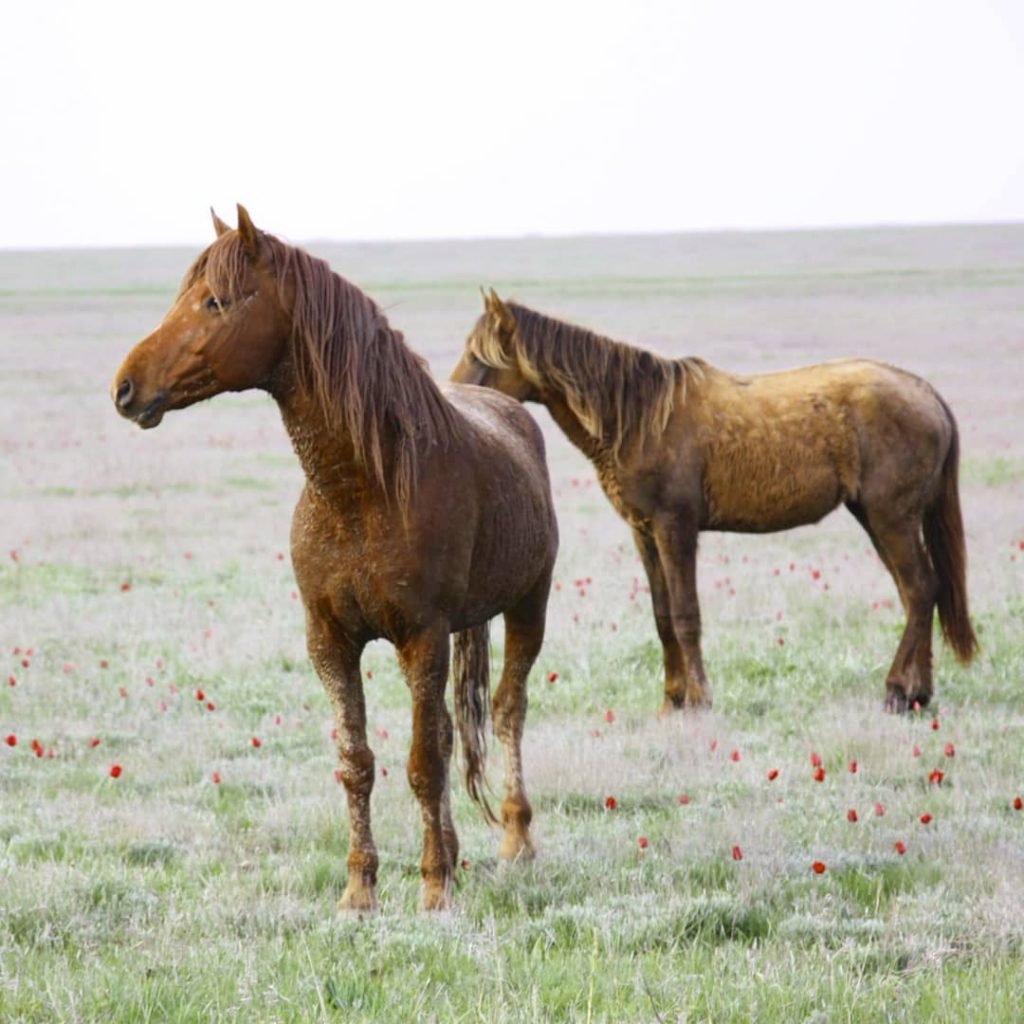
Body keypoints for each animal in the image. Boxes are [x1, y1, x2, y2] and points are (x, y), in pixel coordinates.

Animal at [112, 209, 561, 913]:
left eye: (215, 301)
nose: (126, 388)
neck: (362, 487)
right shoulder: (329, 640)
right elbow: (359, 763)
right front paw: (360, 890)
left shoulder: (423, 636)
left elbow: (423, 764)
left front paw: (434, 890)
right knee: (450, 728)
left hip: (527, 608)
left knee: (507, 710)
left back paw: (514, 841)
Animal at [454, 292, 974, 716]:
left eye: (482, 356)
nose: (455, 398)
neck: (639, 419)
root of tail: (925, 392)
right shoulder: (644, 533)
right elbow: (663, 617)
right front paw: (672, 700)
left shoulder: (675, 529)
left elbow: (687, 615)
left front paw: (700, 699)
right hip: (875, 517)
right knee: (917, 592)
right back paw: (918, 693)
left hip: (891, 518)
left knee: (920, 589)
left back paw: (897, 691)